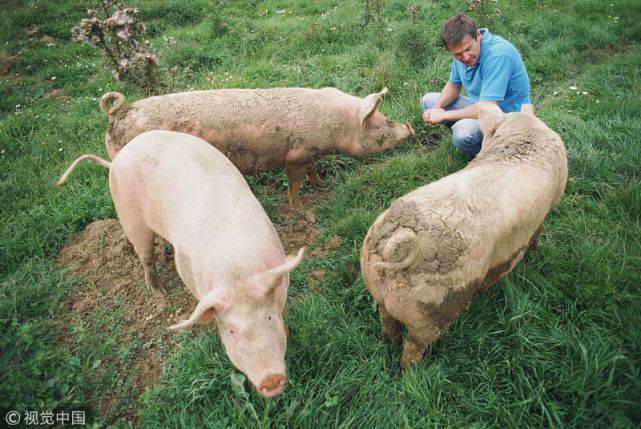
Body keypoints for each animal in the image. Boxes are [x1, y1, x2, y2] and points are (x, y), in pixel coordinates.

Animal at [56, 130, 304, 394]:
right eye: (231, 331)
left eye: (269, 318)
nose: (271, 379)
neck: (237, 273)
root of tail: (118, 157)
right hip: (129, 215)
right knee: (145, 256)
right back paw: (159, 293)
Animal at [97, 86, 412, 206]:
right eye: (381, 125)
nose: (409, 127)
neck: (338, 125)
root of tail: (120, 111)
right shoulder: (295, 154)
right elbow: (294, 182)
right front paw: (300, 208)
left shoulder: (312, 151)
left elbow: (313, 171)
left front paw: (324, 185)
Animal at [360, 103, 564, 368]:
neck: (522, 135)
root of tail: (400, 241)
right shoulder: (546, 211)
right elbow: (536, 236)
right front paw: (537, 250)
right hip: (433, 307)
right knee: (414, 346)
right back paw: (413, 370)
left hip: (377, 285)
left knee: (387, 322)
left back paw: (389, 342)